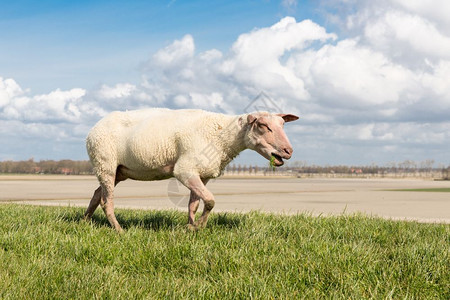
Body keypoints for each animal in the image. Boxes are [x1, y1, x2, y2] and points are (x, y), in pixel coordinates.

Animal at [83, 108, 298, 232]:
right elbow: (210, 200)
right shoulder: (184, 170)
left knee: (96, 194)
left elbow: (194, 204)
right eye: (263, 125)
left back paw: (85, 221)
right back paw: (119, 230)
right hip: (105, 163)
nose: (288, 151)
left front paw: (190, 226)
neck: (223, 137)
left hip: (119, 171)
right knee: (106, 201)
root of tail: (92, 129)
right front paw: (199, 226)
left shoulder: (201, 174)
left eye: (282, 124)